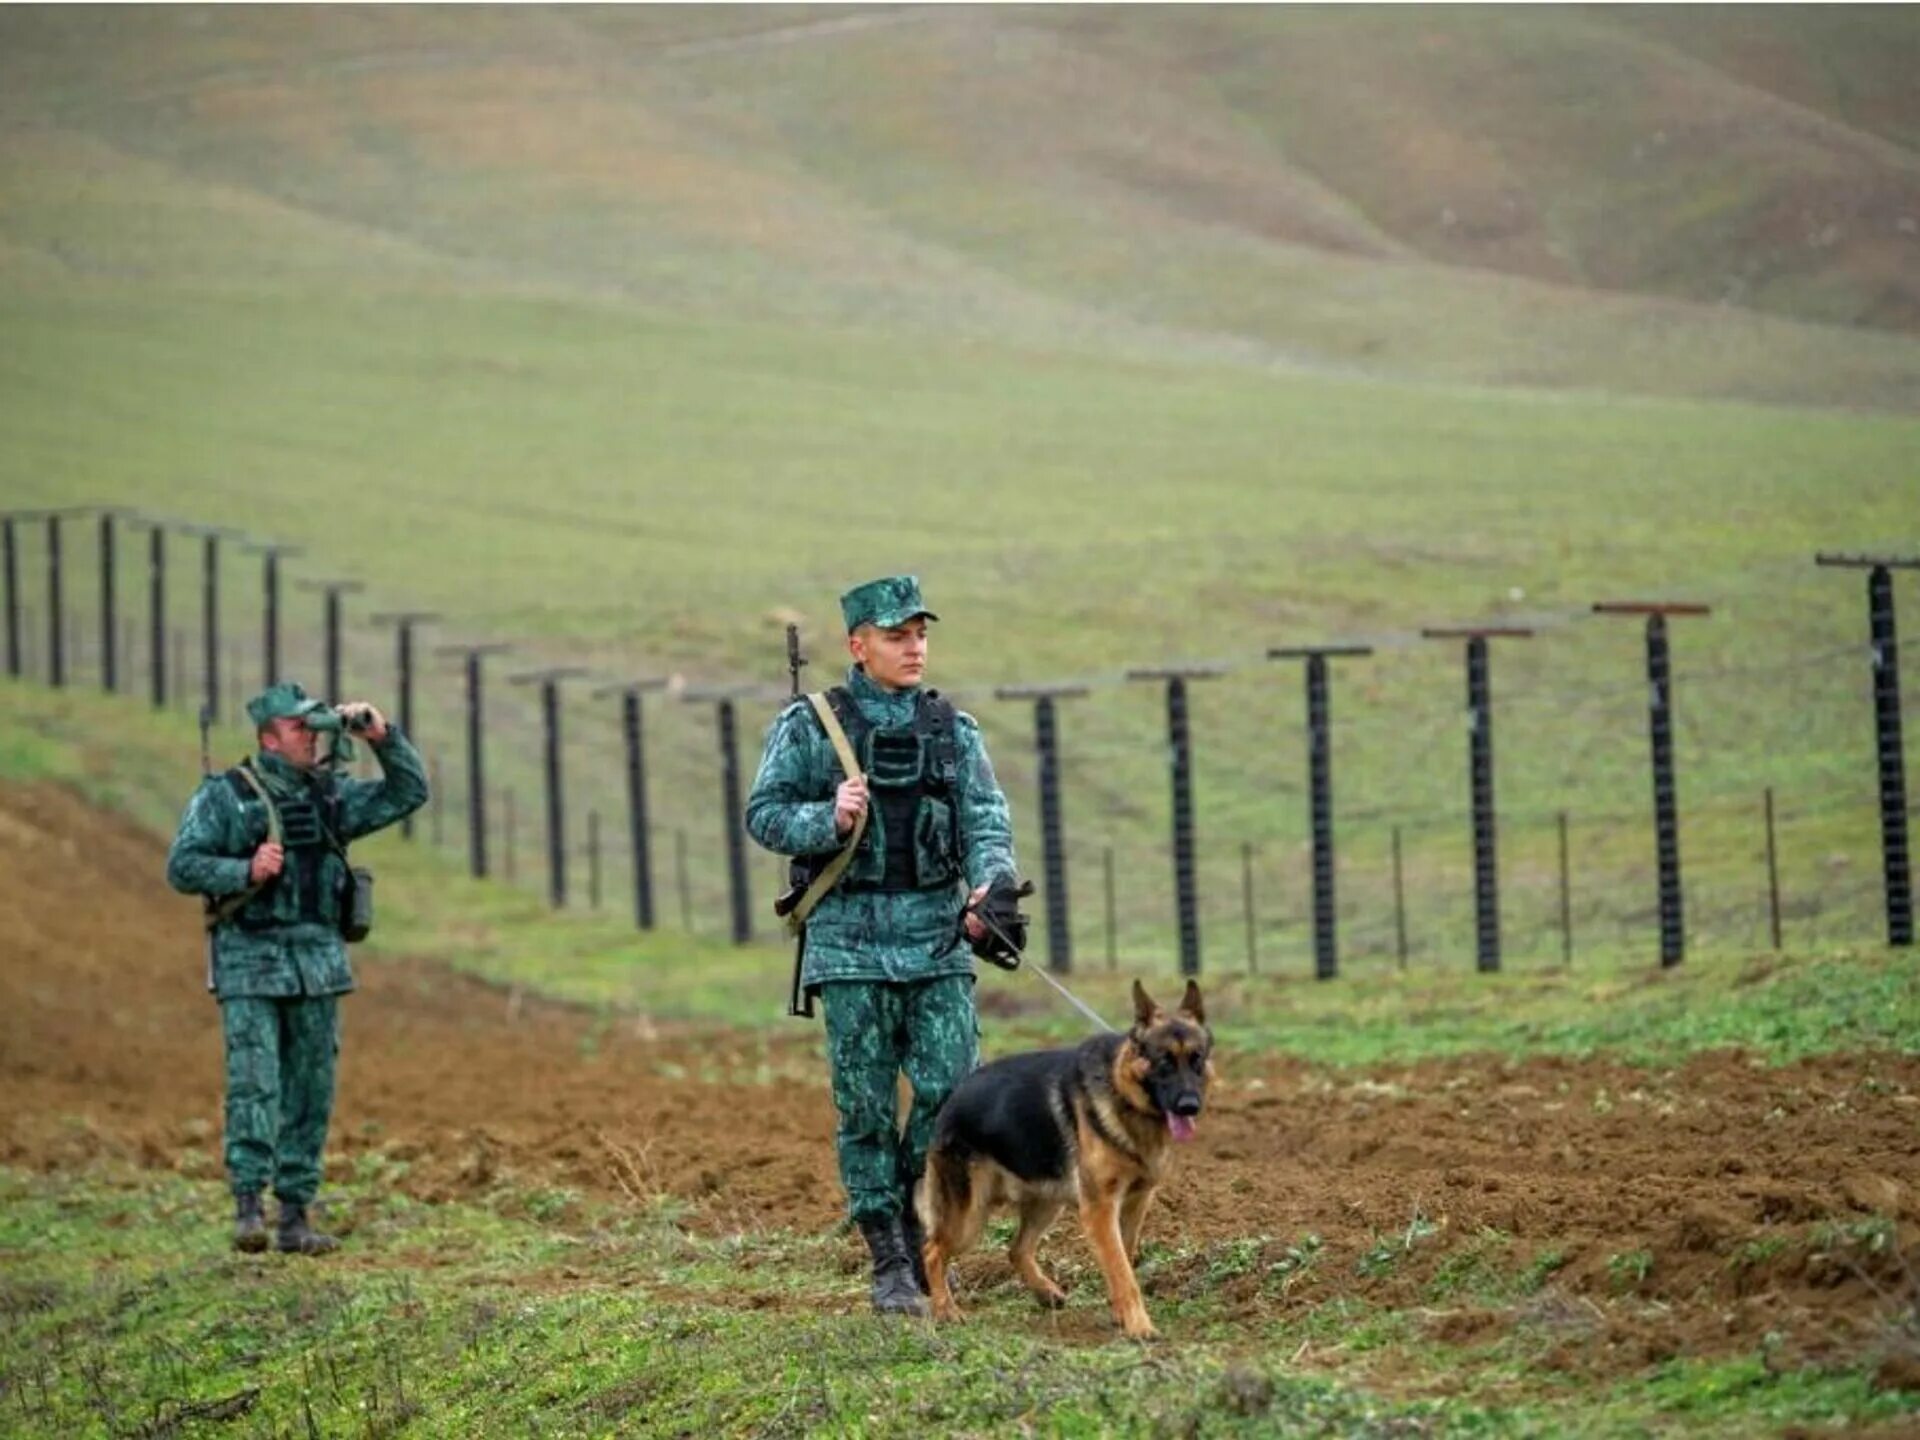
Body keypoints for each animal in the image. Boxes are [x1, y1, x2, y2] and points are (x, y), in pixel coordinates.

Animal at [917, 983, 1213, 1344]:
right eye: (1164, 1062)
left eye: (1197, 1060)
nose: (1189, 1106)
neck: (1123, 1094)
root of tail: (953, 1097)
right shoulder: (1099, 1210)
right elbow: (1121, 1271)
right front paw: (1139, 1326)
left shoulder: (1135, 1204)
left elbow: (1124, 1261)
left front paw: (1120, 1316)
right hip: (968, 1219)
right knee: (932, 1251)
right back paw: (946, 1310)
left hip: (1046, 1204)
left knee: (1016, 1249)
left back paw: (1046, 1293)